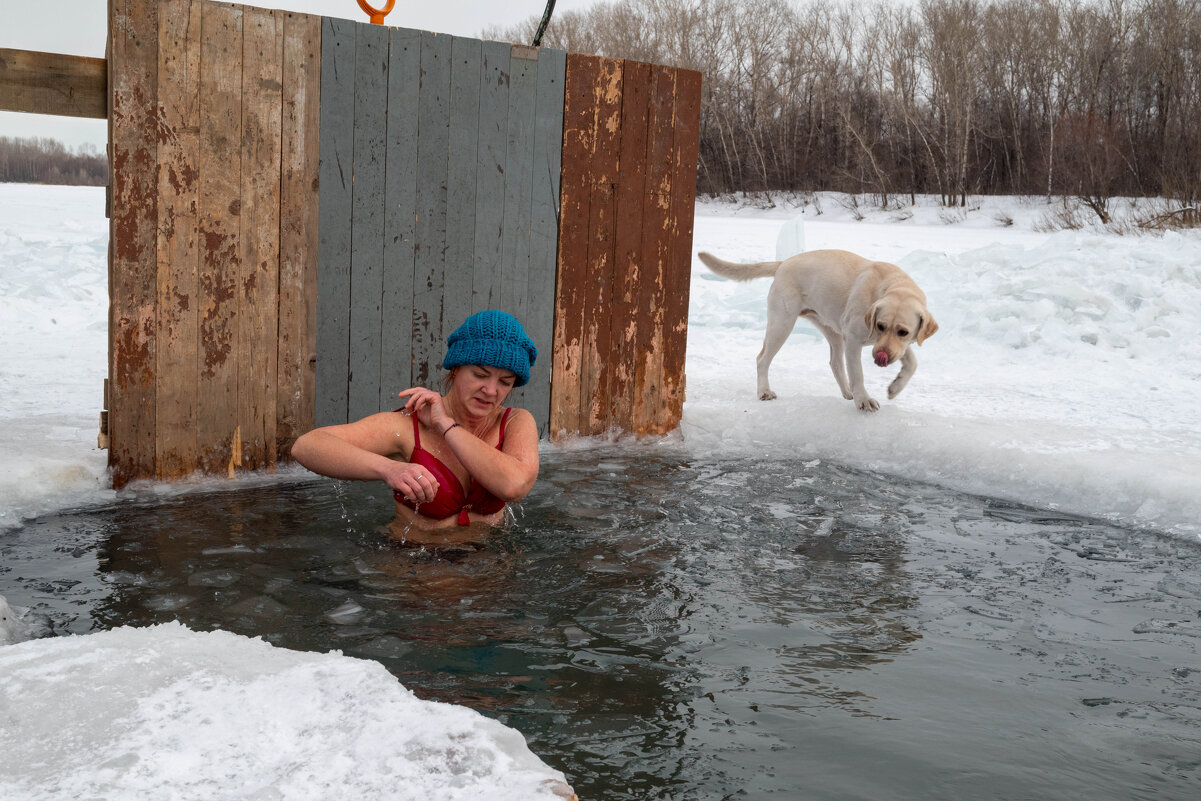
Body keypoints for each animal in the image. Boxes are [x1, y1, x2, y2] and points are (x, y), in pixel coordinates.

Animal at [696, 250, 936, 413]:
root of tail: (783, 263)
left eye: (903, 332)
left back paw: (847, 392)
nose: (881, 357)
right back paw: (764, 391)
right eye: (880, 325)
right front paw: (863, 400)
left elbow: (912, 363)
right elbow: (858, 374)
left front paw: (895, 387)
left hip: (832, 331)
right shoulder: (854, 340)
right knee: (762, 358)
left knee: (835, 362)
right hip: (782, 324)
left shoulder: (895, 345)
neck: (890, 286)